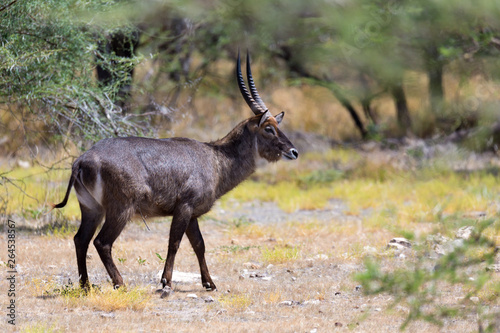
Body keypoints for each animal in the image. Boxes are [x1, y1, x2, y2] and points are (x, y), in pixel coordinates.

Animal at [52, 50, 298, 292]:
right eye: (269, 128)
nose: (293, 151)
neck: (216, 158)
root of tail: (82, 160)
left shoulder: (193, 214)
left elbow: (199, 244)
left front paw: (209, 283)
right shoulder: (184, 208)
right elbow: (175, 243)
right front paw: (166, 282)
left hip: (91, 209)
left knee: (80, 239)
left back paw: (85, 285)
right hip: (120, 209)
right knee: (102, 242)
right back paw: (119, 283)